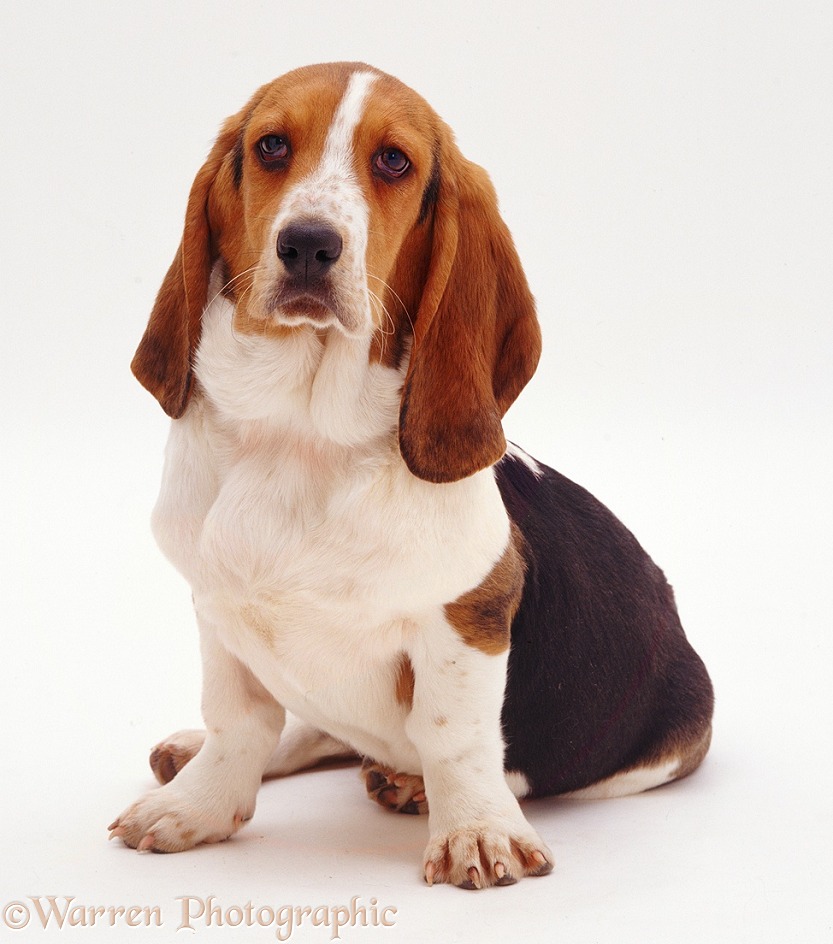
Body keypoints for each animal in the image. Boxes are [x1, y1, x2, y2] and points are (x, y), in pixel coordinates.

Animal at [107, 62, 712, 888]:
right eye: (271, 146)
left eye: (393, 161)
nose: (307, 245)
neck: (299, 436)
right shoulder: (216, 606)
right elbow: (240, 720)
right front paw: (198, 804)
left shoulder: (464, 614)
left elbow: (452, 731)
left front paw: (475, 832)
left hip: (658, 747)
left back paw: (410, 783)